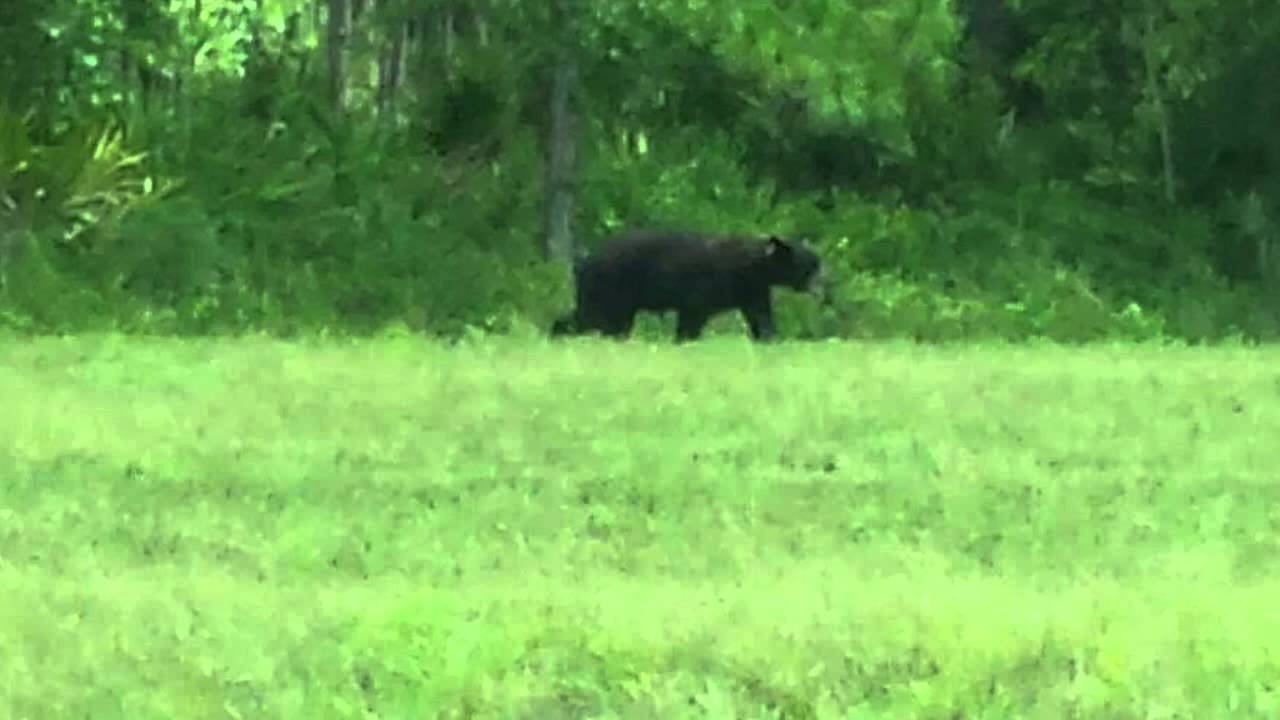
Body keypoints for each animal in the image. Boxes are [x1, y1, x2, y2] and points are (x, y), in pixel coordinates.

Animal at [550, 229, 826, 342]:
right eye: (812, 266)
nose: (825, 284)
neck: (753, 266)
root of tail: (583, 262)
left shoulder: (752, 289)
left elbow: (760, 316)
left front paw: (770, 338)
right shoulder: (708, 285)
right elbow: (693, 314)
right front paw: (684, 339)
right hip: (609, 286)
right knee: (592, 317)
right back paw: (558, 333)